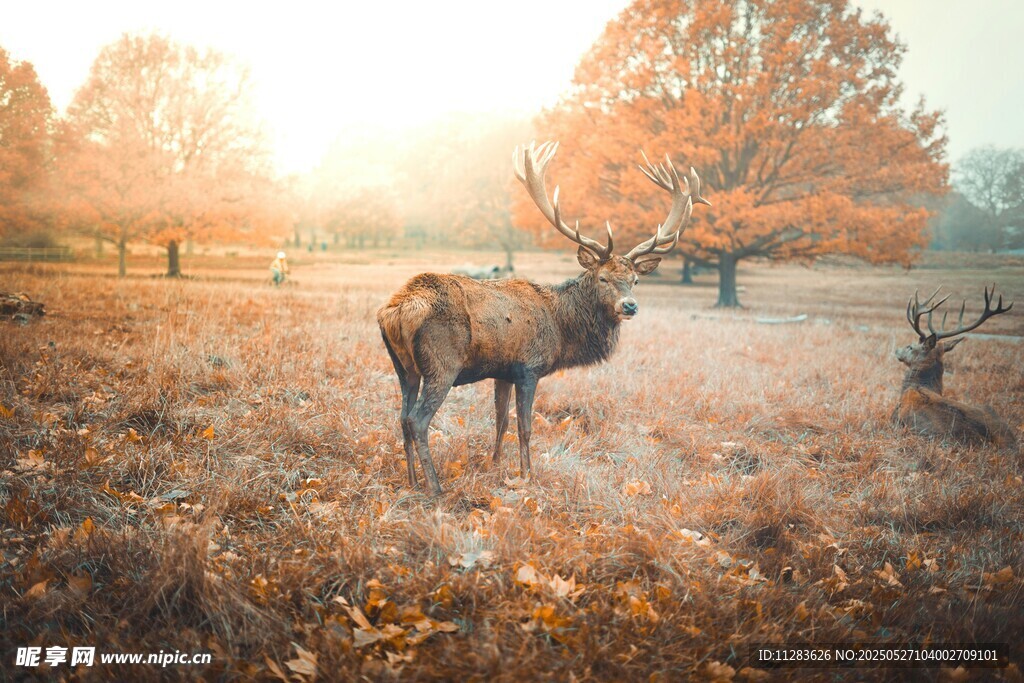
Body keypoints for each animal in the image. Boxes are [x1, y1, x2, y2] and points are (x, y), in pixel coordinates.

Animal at [377, 142, 711, 495]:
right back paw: (435, 488)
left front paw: (495, 465)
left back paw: (411, 481)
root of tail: (396, 309)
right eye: (603, 278)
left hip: (403, 367)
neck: (561, 329)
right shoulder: (529, 367)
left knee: (402, 416)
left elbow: (501, 420)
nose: (630, 306)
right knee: (417, 420)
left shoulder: (502, 371)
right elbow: (524, 427)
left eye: (635, 280)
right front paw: (528, 475)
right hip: (442, 364)